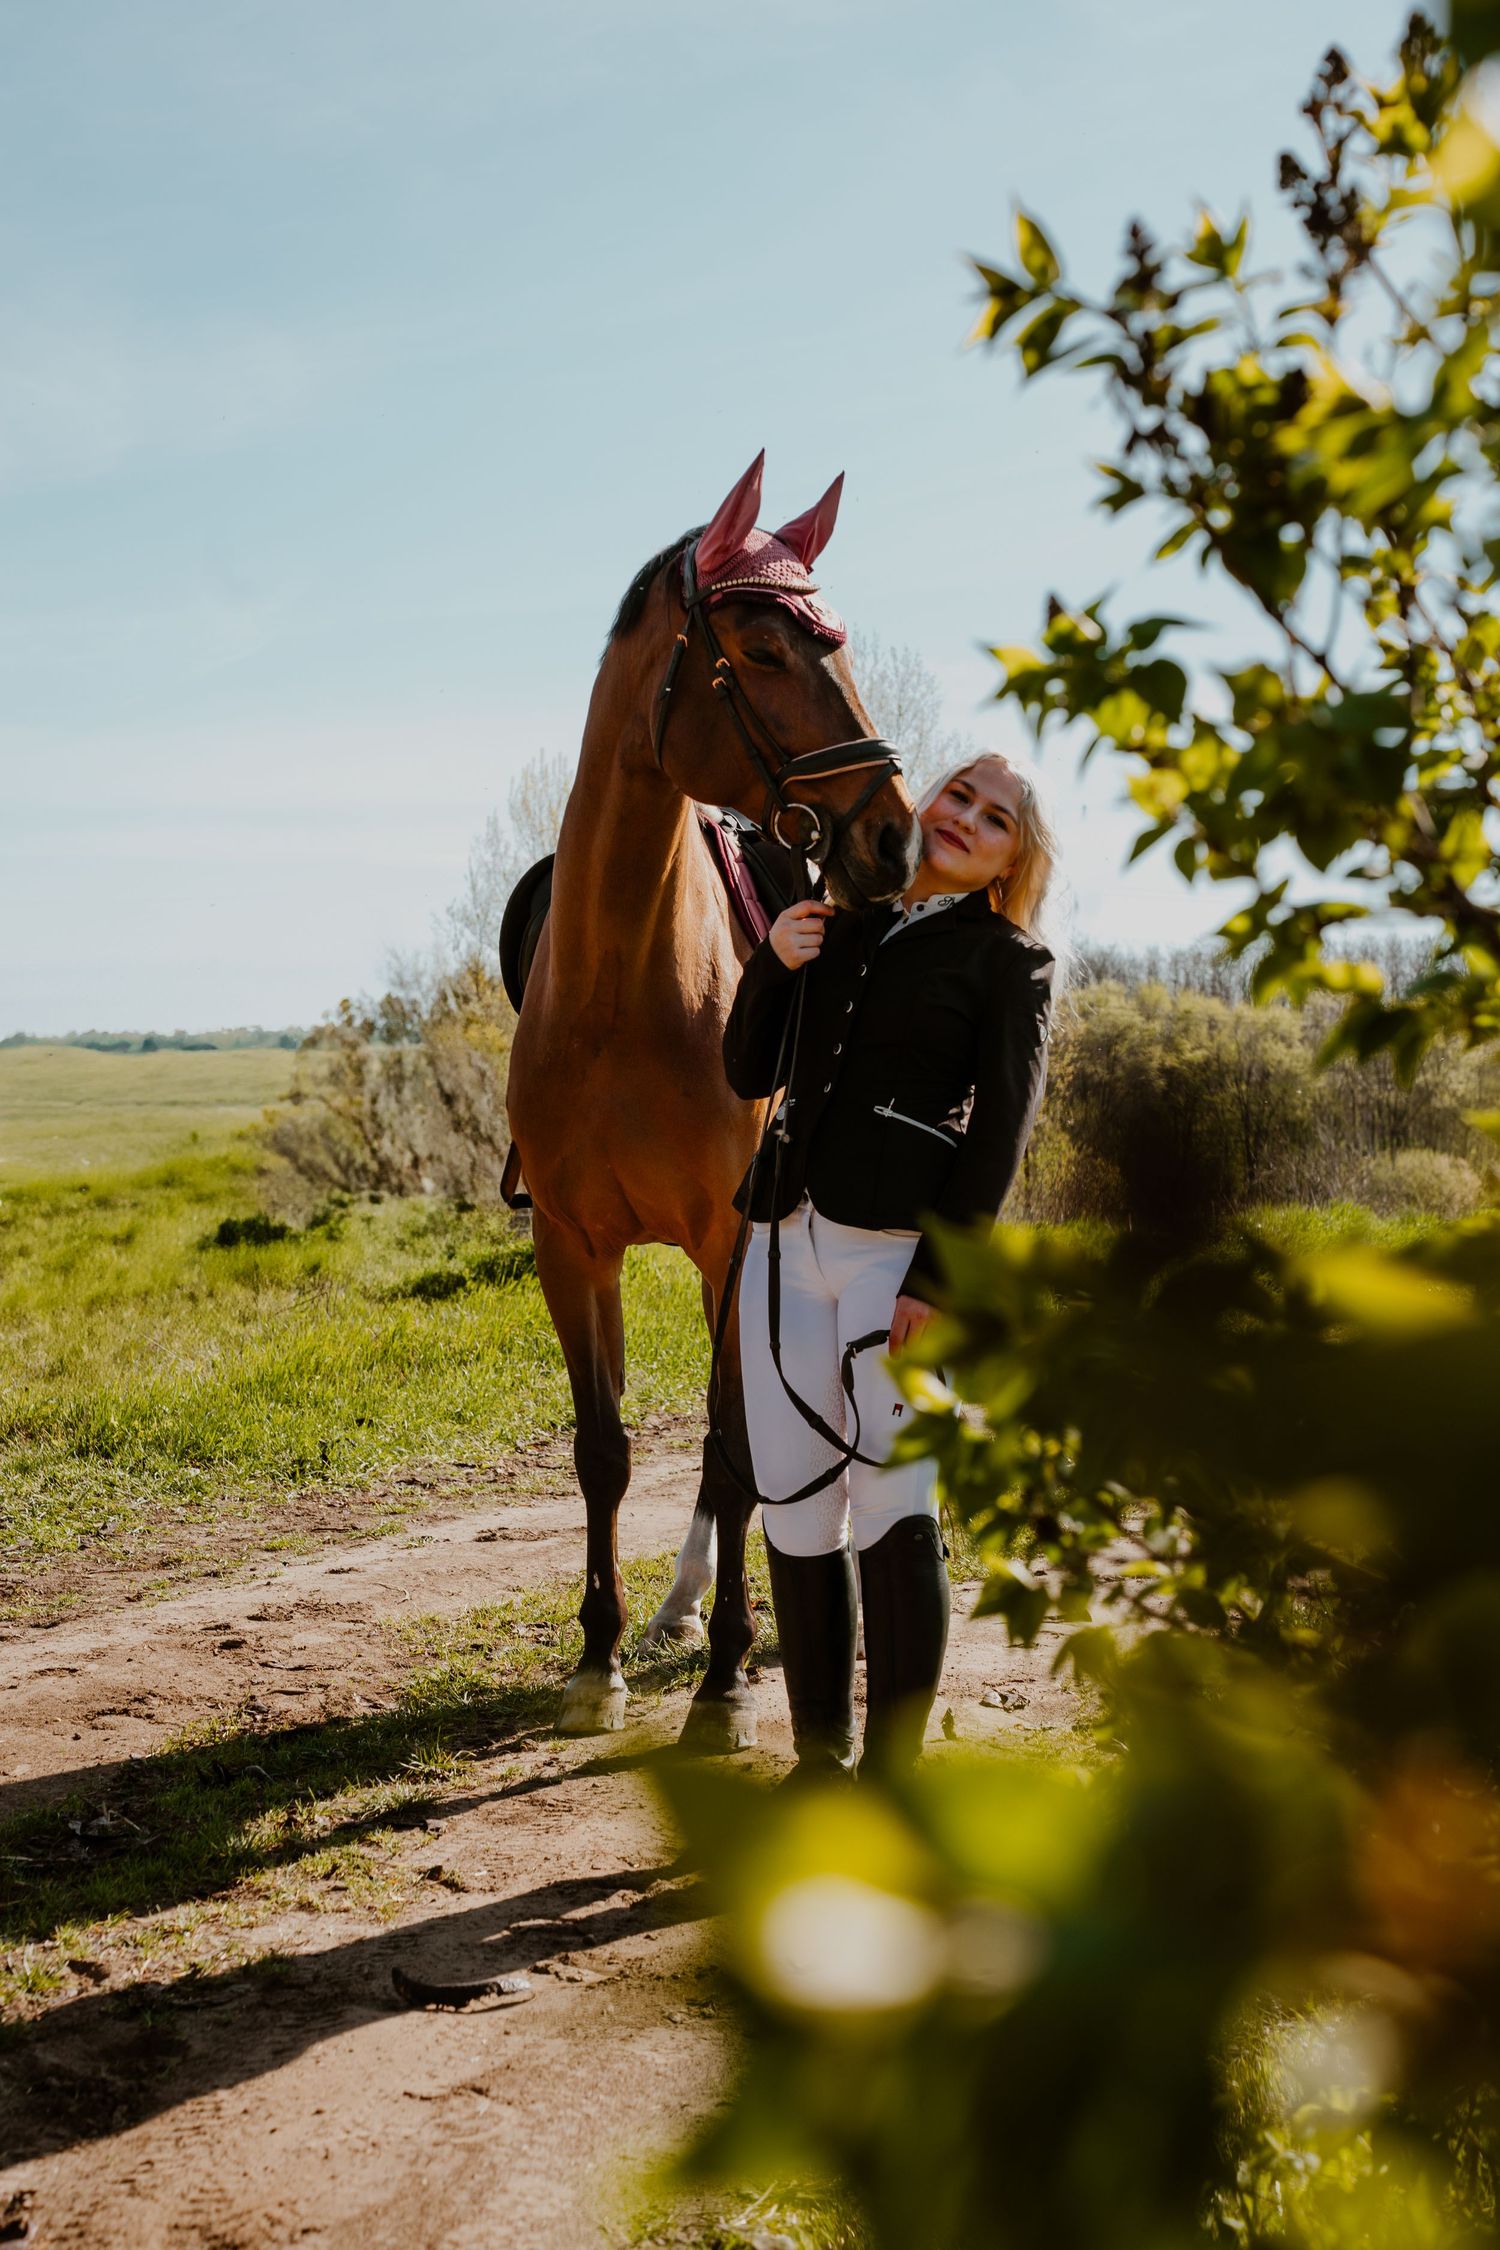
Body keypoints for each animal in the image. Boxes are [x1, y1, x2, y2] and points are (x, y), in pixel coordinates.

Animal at [505, 452, 920, 1749]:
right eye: (767, 649)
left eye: (838, 644)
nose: (894, 840)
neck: (617, 992)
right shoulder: (570, 1247)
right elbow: (605, 1450)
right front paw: (598, 1659)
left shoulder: (730, 1242)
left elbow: (737, 1452)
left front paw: (732, 1680)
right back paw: (680, 1603)